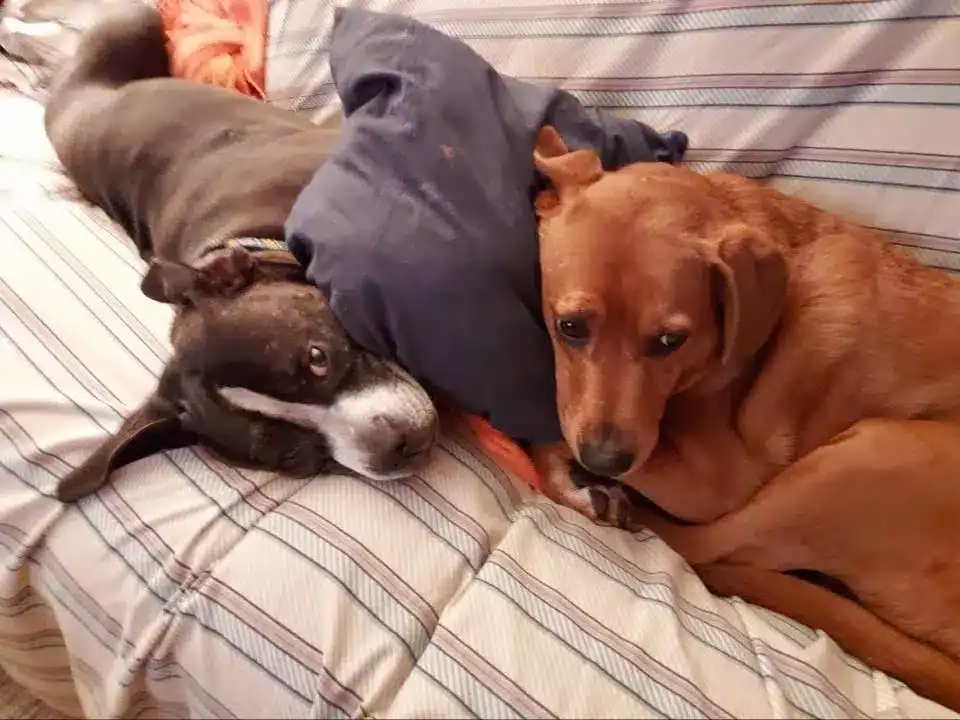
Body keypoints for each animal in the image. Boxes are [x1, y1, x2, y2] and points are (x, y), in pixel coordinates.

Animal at [528, 125, 960, 711]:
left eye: (671, 340)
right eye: (570, 327)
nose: (604, 459)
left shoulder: (719, 478)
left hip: (869, 456)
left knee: (701, 549)